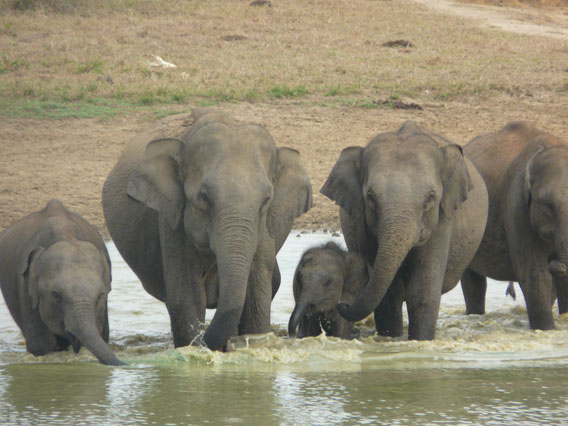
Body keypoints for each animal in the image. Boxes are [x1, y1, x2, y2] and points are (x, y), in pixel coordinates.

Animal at [104, 108, 312, 352]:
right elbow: (187, 297)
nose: (226, 346)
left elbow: (256, 299)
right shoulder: (171, 221)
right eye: (204, 197)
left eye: (266, 200)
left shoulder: (265, 230)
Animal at [320, 121, 488, 342]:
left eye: (430, 198)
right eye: (371, 197)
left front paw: (420, 341)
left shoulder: (442, 221)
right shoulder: (363, 225)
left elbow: (422, 291)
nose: (342, 304)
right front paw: (391, 339)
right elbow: (389, 294)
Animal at [462, 121, 568, 328]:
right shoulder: (516, 205)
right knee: (472, 281)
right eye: (547, 205)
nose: (557, 264)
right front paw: (545, 330)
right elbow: (535, 276)